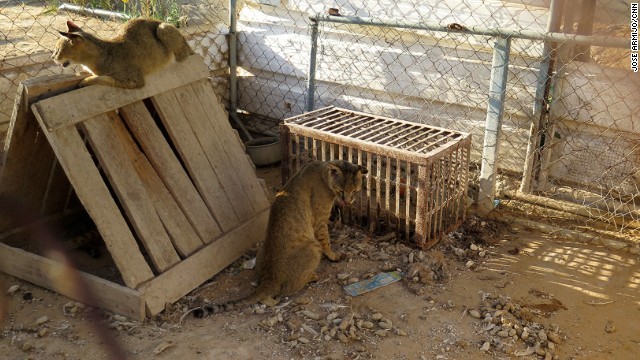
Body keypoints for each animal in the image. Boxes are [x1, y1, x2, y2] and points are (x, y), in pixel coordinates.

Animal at [52, 17, 194, 88]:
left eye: (57, 50)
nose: (52, 57)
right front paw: (82, 73)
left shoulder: (135, 80)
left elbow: (104, 78)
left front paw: (85, 81)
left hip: (162, 28)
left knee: (184, 55)